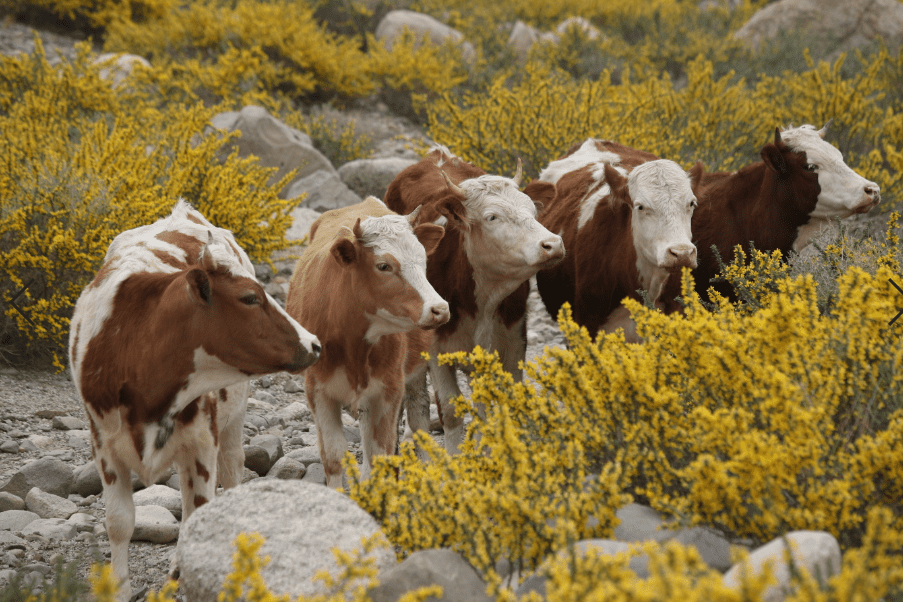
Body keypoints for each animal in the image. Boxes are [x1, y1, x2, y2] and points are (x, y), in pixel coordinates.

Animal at [69, 199, 322, 596]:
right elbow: (119, 522)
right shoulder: (104, 446)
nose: (314, 343)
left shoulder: (203, 442)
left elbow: (199, 515)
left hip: (232, 421)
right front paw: (120, 588)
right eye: (250, 298)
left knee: (231, 471)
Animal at [286, 197, 448, 488]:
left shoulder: (389, 388)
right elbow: (334, 455)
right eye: (383, 266)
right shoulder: (317, 390)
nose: (439, 309)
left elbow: (381, 451)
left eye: (423, 260)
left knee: (419, 416)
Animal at [384, 146, 568, 450]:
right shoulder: (436, 350)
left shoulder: (513, 340)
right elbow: (450, 409)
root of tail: (438, 154)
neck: (482, 301)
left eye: (533, 210)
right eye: (492, 217)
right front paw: (454, 454)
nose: (552, 244)